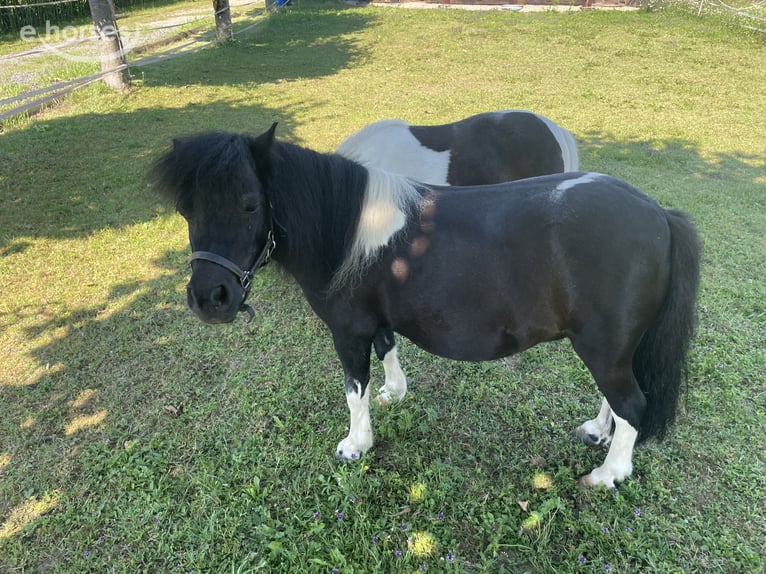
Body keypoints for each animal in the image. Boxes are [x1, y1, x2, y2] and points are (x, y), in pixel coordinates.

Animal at [152, 124, 700, 489]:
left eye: (250, 203)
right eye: (185, 208)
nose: (209, 299)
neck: (348, 230)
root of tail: (658, 215)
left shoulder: (347, 331)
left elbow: (353, 389)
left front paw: (356, 445)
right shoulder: (376, 320)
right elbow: (388, 349)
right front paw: (394, 393)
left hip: (604, 347)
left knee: (632, 403)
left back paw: (609, 473)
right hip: (612, 347)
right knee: (619, 397)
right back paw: (598, 433)